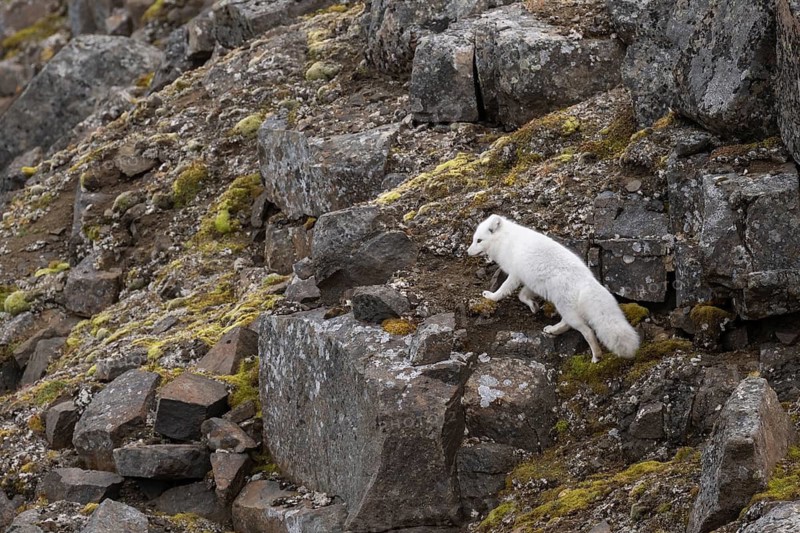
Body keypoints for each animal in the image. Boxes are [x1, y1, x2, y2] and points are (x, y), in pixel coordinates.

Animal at [467, 214, 640, 362]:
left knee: (587, 331)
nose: (468, 252)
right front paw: (533, 306)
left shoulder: (515, 275)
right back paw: (552, 330)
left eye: (479, 240)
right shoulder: (530, 281)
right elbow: (522, 295)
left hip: (566, 308)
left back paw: (596, 356)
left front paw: (491, 296)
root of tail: (586, 281)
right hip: (566, 308)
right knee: (568, 324)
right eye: (474, 239)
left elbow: (503, 290)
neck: (505, 240)